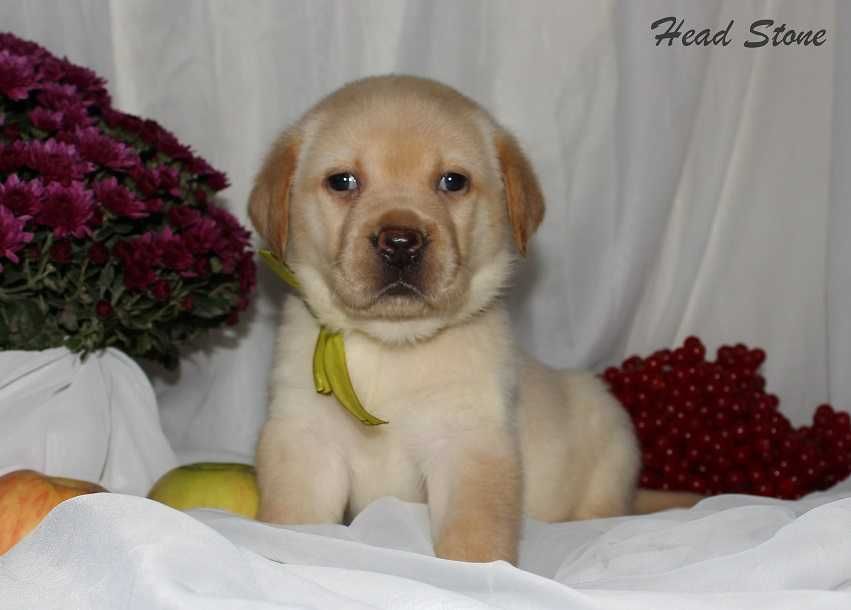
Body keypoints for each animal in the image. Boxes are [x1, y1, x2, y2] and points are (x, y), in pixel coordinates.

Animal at [251, 75, 680, 560]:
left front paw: (473, 570)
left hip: (611, 434)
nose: (400, 243)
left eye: (452, 181)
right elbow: (294, 519)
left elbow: (474, 534)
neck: (391, 345)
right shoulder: (304, 439)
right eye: (342, 181)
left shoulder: (469, 443)